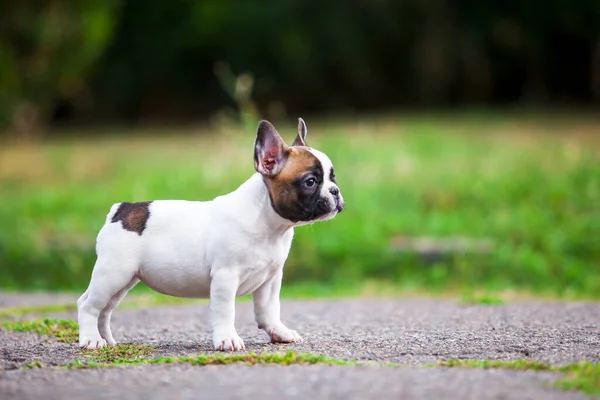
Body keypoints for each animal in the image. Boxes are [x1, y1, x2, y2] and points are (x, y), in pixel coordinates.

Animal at [77, 119, 344, 350]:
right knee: (88, 305)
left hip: (125, 280)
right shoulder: (226, 276)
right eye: (310, 181)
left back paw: (107, 339)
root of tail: (121, 209)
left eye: (333, 177)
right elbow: (226, 311)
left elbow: (269, 309)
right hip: (113, 273)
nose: (336, 191)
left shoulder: (270, 279)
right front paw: (228, 339)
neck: (269, 224)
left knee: (106, 309)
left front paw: (279, 332)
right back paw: (91, 340)